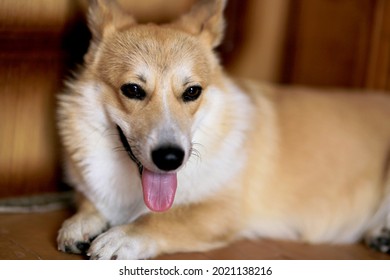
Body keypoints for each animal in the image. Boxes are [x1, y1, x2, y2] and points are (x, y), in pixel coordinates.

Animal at [56, 0, 390, 260]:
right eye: (133, 90)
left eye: (192, 91)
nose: (170, 159)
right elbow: (89, 201)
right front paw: (80, 222)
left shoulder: (223, 211)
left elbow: (163, 220)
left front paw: (123, 235)